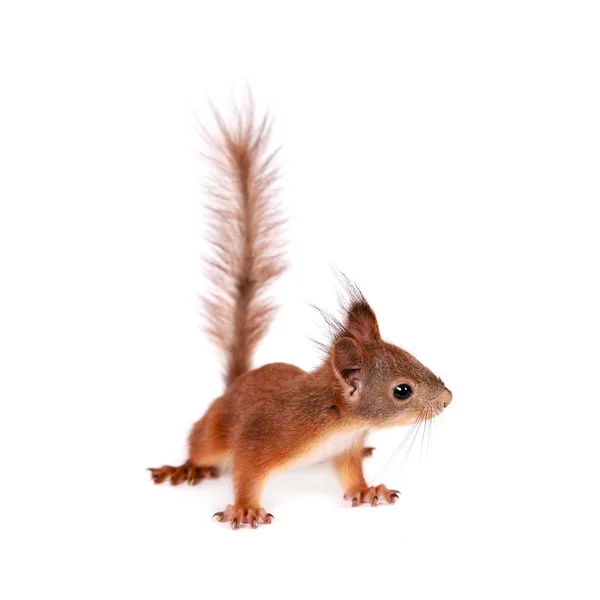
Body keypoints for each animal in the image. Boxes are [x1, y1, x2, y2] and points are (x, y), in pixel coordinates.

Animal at [149, 105, 450, 528]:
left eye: (413, 355)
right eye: (402, 390)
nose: (448, 399)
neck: (342, 420)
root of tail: (234, 385)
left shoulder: (344, 448)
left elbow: (350, 471)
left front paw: (366, 489)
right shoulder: (267, 436)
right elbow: (246, 470)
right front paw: (246, 508)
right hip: (215, 429)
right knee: (201, 444)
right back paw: (185, 467)